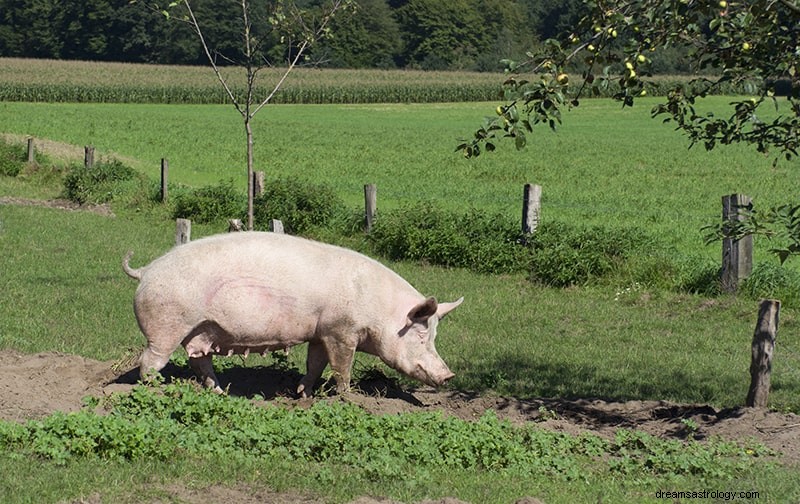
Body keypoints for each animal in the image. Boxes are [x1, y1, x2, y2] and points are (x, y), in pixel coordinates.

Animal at [122, 230, 466, 396]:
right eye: (421, 335)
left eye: (434, 335)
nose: (448, 375)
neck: (379, 309)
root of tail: (145, 271)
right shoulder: (341, 331)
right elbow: (342, 368)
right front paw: (347, 397)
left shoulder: (320, 332)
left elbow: (315, 364)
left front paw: (303, 394)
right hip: (166, 327)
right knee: (149, 361)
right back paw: (156, 390)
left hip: (199, 330)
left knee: (199, 361)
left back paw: (220, 393)